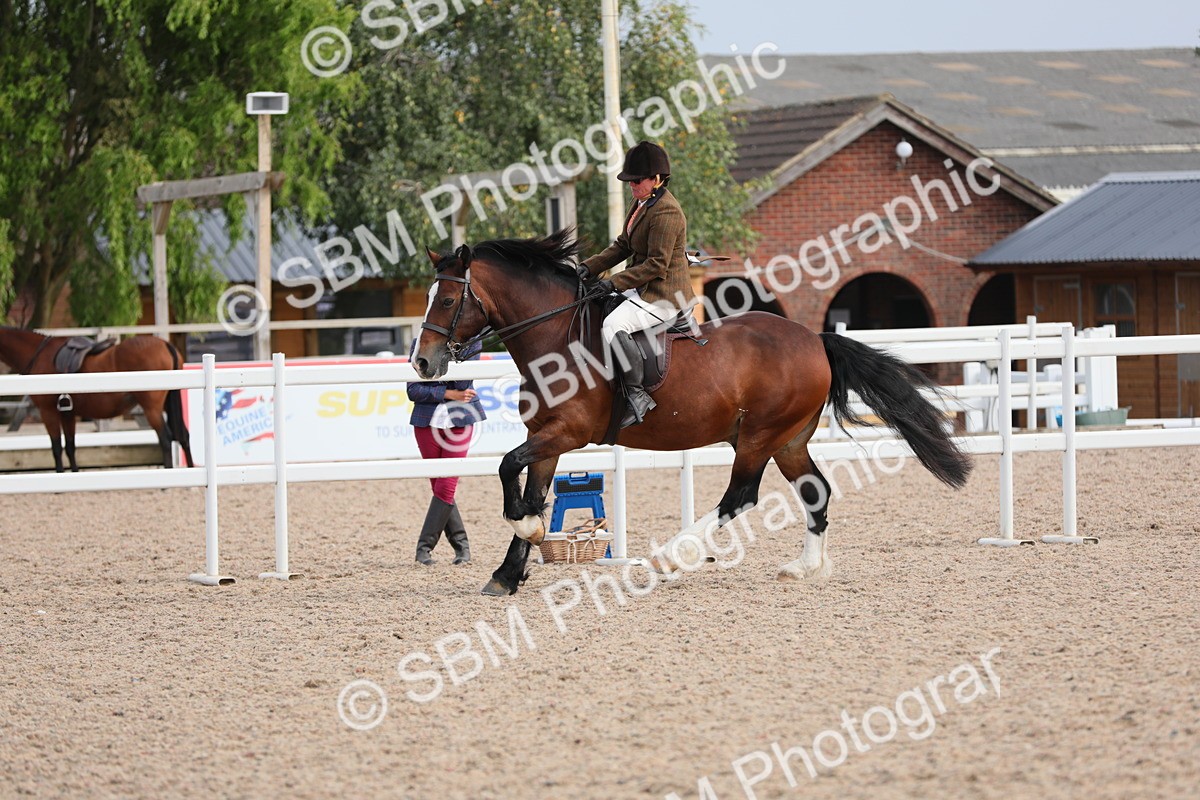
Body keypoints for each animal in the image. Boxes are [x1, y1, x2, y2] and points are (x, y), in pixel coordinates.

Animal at [0, 328, 194, 472]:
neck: (39, 354)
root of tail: (165, 344)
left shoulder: (48, 412)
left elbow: (56, 448)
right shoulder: (67, 414)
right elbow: (70, 446)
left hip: (151, 408)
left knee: (165, 438)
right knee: (183, 435)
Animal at [412, 230, 971, 596]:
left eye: (447, 300)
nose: (423, 362)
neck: (555, 336)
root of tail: (814, 338)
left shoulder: (568, 432)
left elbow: (509, 468)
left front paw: (526, 536)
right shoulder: (546, 435)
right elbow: (529, 488)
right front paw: (509, 572)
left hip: (758, 437)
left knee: (741, 495)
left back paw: (674, 555)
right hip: (788, 439)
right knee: (815, 491)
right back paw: (804, 568)